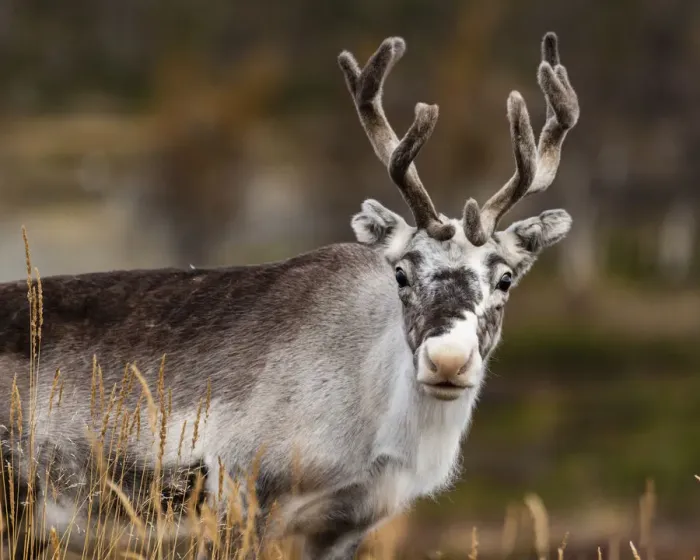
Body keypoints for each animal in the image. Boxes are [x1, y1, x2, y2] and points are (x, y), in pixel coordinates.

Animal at [0, 32, 579, 560]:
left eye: (505, 278)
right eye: (400, 273)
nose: (448, 360)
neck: (375, 415)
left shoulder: (342, 526)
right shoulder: (242, 498)